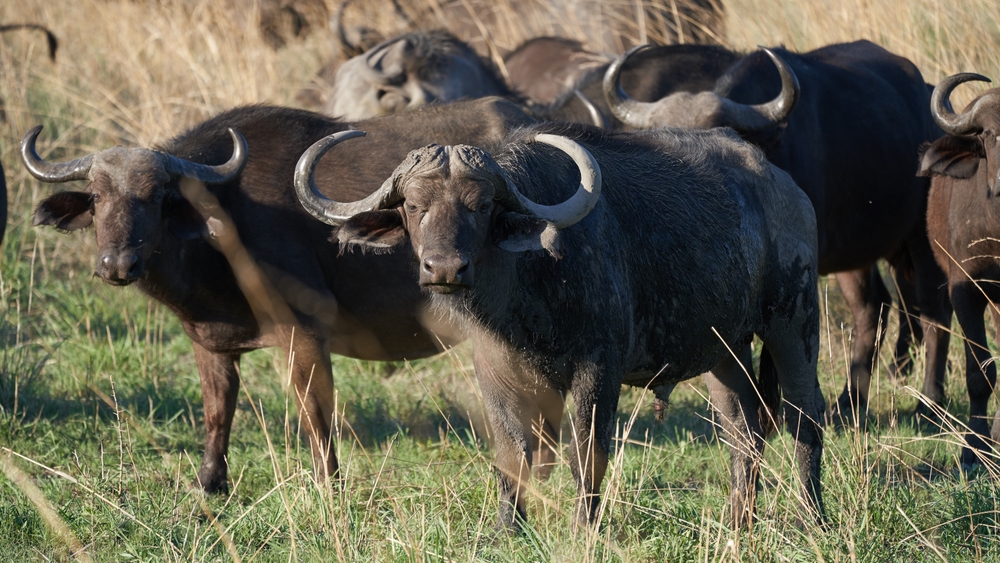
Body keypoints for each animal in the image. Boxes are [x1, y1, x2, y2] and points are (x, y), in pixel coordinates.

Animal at [19, 97, 540, 494]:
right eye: (97, 196)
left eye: (155, 197)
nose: (117, 264)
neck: (226, 222)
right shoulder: (209, 341)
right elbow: (217, 410)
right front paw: (209, 482)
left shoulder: (304, 334)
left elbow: (316, 416)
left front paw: (329, 486)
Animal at [292, 121, 824, 532]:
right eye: (414, 206)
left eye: (481, 206)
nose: (444, 268)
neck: (529, 291)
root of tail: (788, 189)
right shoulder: (495, 373)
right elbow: (513, 454)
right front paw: (509, 527)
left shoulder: (599, 369)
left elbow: (586, 451)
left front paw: (584, 527)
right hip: (723, 351)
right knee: (742, 428)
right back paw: (737, 523)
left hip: (794, 325)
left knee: (803, 418)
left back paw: (811, 518)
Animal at [604, 40, 948, 418]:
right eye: (656, 136)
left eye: (710, 131)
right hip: (860, 252)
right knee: (872, 308)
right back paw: (849, 402)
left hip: (923, 239)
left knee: (933, 309)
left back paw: (930, 401)